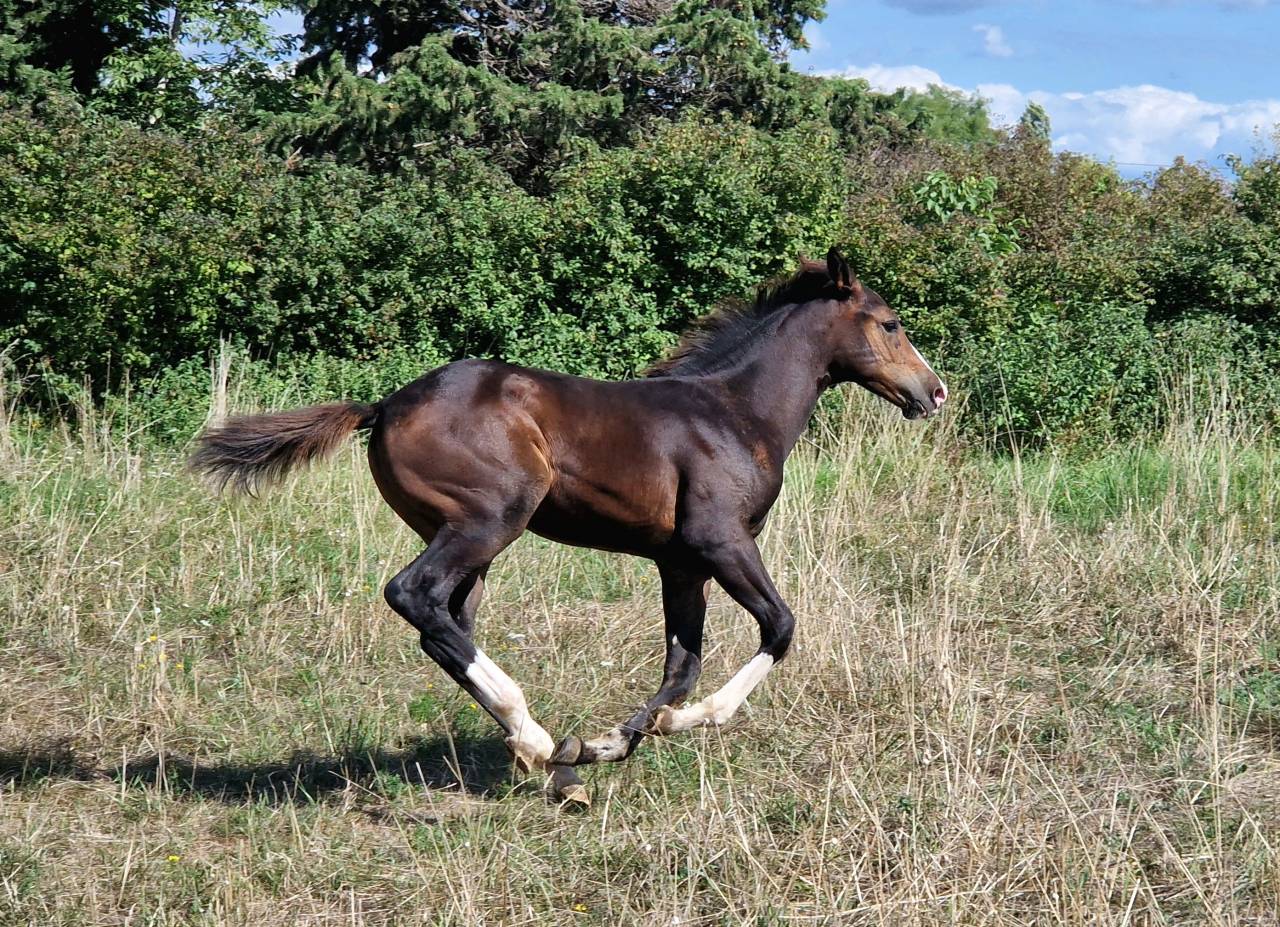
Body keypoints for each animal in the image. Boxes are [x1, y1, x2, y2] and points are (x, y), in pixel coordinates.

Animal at [189, 248, 947, 804]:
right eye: (889, 323)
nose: (933, 392)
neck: (734, 411)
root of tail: (384, 405)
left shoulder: (681, 562)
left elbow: (681, 663)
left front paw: (614, 740)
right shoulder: (721, 541)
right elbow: (778, 627)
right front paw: (678, 724)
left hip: (471, 544)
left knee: (447, 625)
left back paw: (553, 757)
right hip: (488, 520)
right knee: (414, 596)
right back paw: (535, 737)